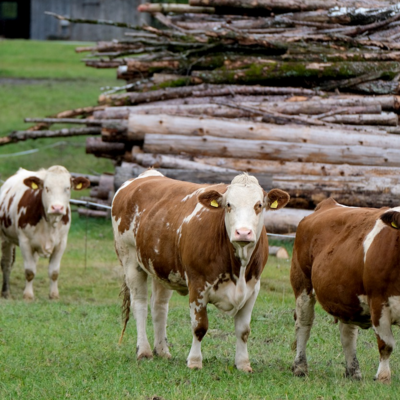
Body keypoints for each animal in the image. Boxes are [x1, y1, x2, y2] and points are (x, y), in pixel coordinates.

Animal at [0, 166, 89, 300]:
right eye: (47, 188)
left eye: (67, 188)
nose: (57, 208)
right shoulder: (25, 242)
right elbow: (29, 271)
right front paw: (28, 295)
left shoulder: (61, 243)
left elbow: (54, 272)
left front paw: (54, 295)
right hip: (5, 238)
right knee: (6, 263)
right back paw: (5, 292)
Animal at [111, 170, 290, 372]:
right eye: (228, 205)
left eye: (259, 205)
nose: (243, 233)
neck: (239, 269)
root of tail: (147, 174)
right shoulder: (197, 285)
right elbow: (199, 327)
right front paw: (195, 361)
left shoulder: (253, 288)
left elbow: (243, 331)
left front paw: (243, 364)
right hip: (130, 260)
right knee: (139, 305)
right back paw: (144, 351)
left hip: (161, 268)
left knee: (159, 306)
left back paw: (162, 350)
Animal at [290, 198, 400, 382]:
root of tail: (328, 204)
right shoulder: (378, 302)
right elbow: (386, 344)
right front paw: (383, 377)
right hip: (302, 282)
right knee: (303, 323)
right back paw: (300, 367)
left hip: (346, 295)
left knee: (348, 333)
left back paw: (353, 371)